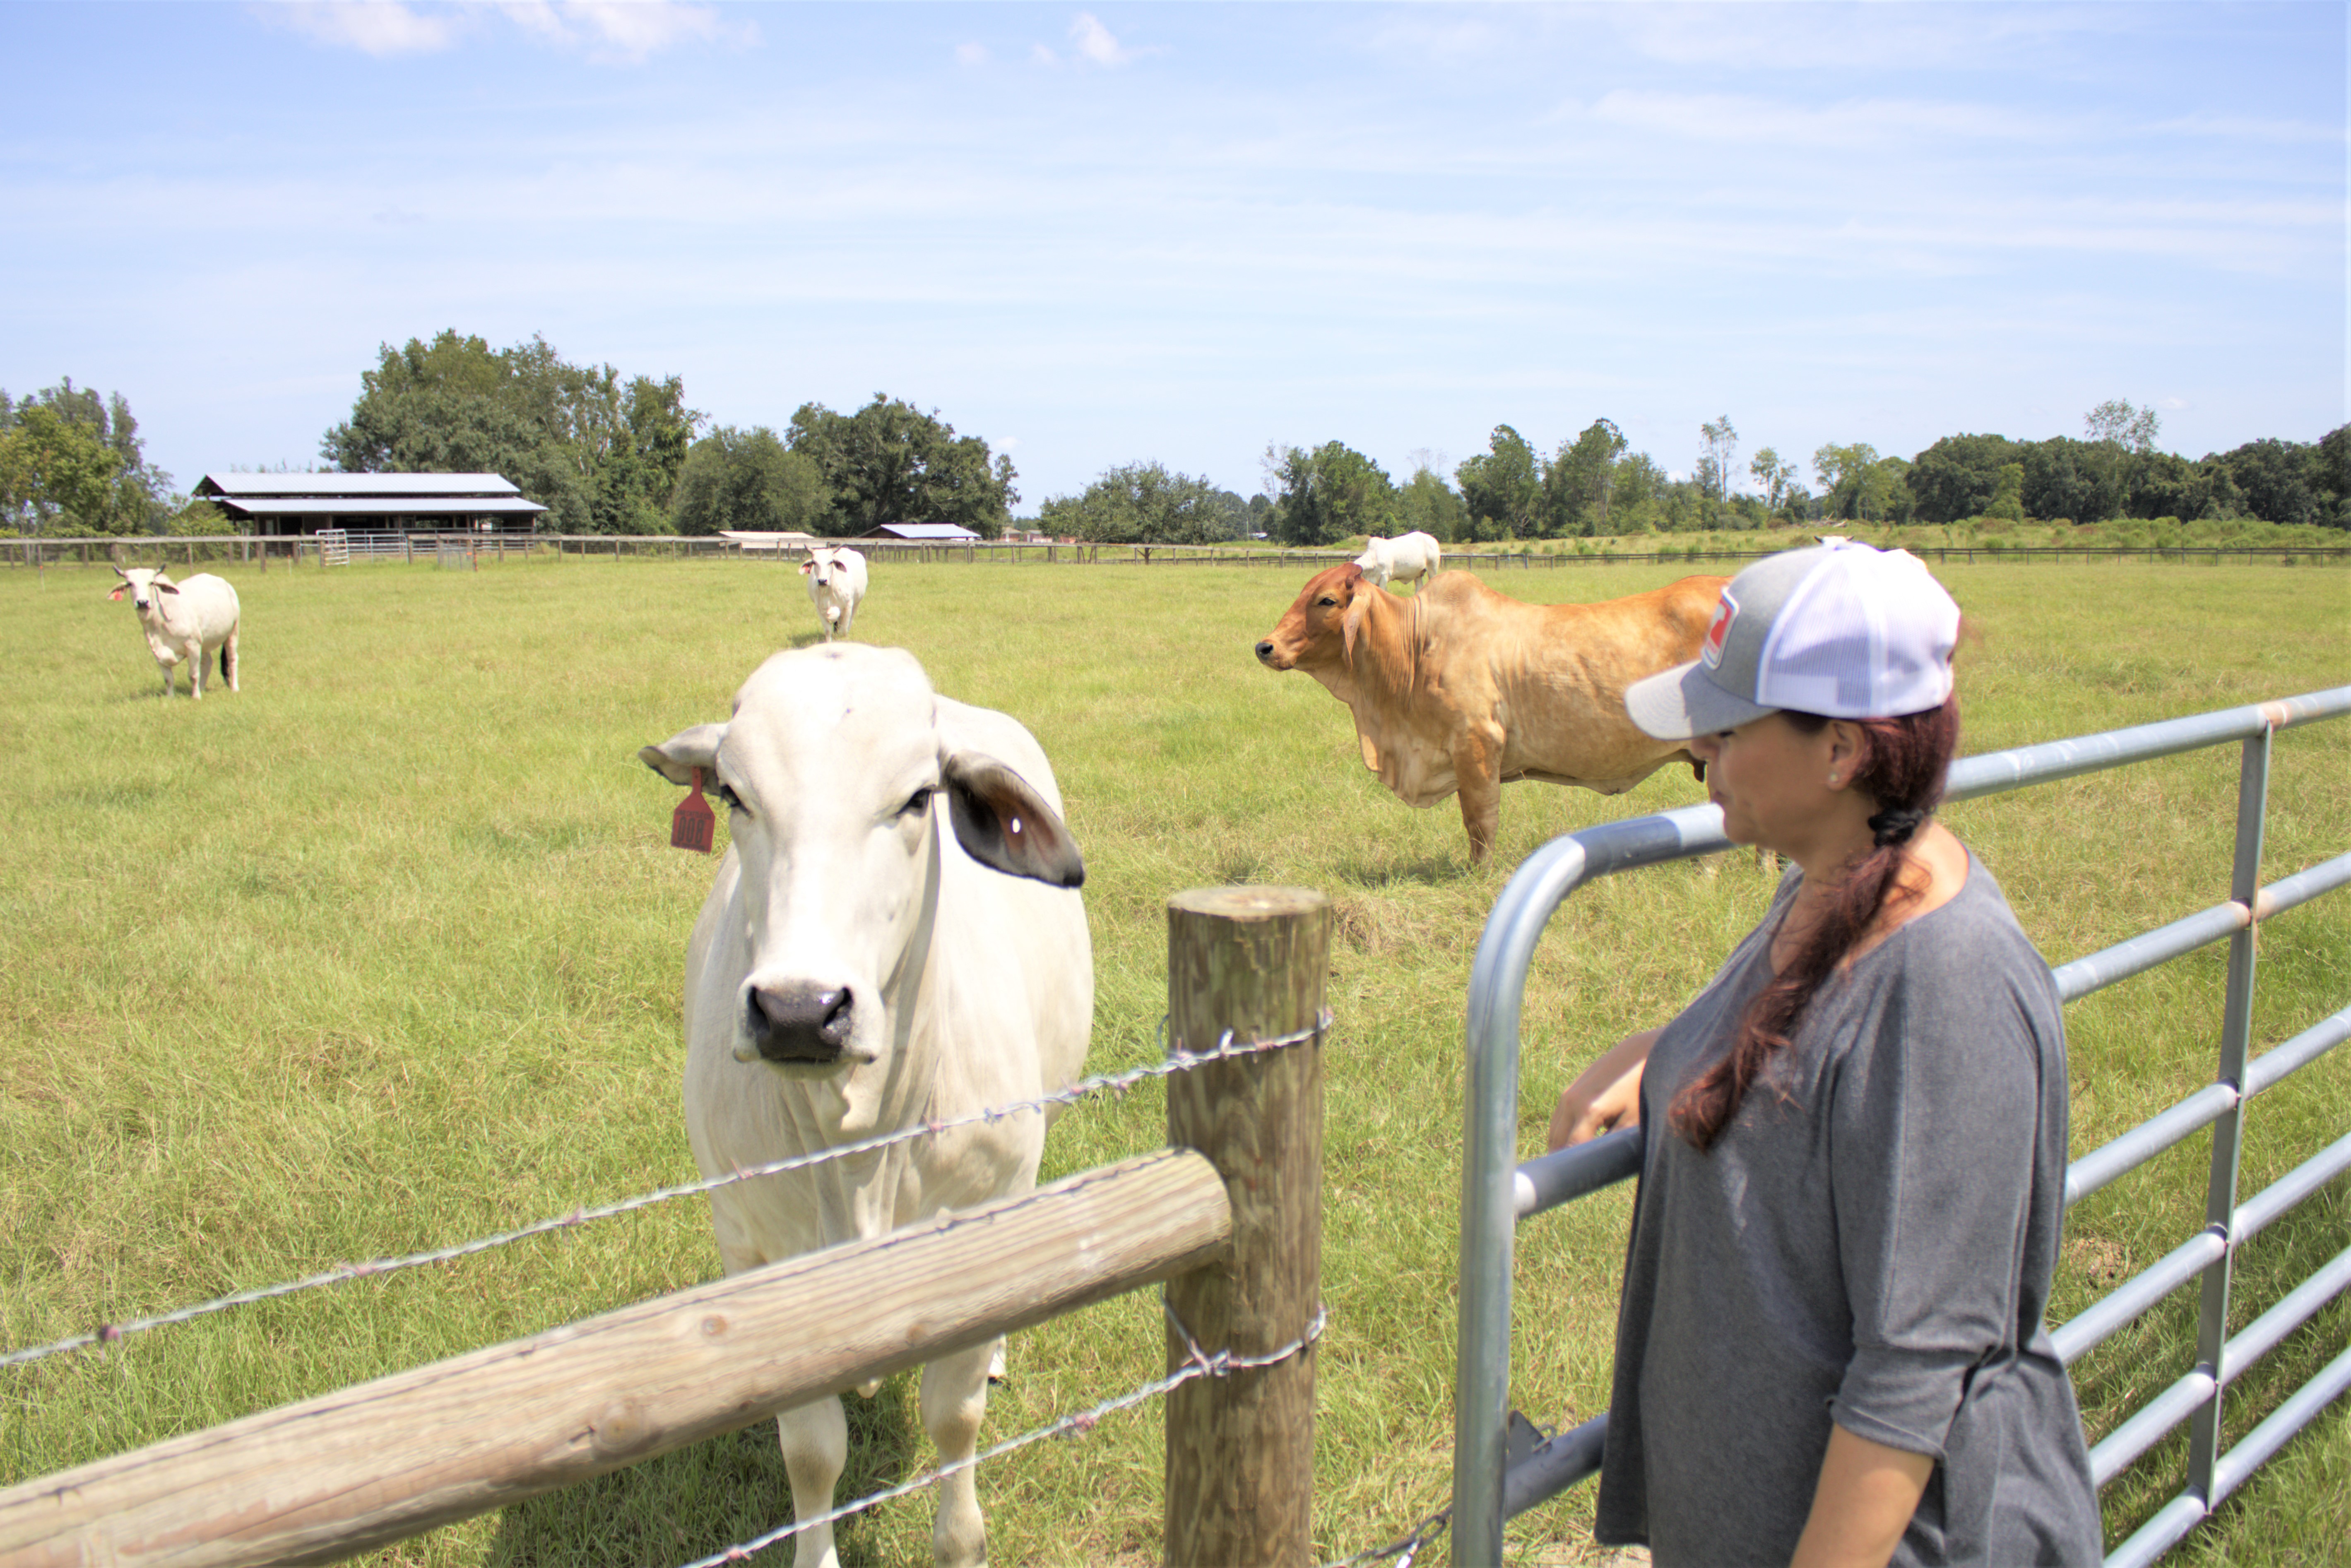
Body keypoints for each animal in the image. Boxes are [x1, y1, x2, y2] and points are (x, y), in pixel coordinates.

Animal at [109, 567, 240, 700]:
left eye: (151, 583)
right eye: (130, 584)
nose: (142, 602)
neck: (161, 621)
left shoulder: (193, 645)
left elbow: (193, 675)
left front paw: (196, 697)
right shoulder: (156, 651)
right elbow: (168, 679)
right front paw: (170, 698)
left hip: (233, 632)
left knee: (232, 659)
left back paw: (234, 688)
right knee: (207, 662)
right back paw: (202, 688)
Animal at [639, 642, 1091, 1568]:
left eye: (918, 798)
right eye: (733, 793)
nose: (799, 1009)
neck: (859, 1148)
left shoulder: (980, 1218)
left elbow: (953, 1416)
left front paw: (959, 1539)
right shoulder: (757, 1249)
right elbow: (812, 1451)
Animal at [799, 545, 868, 641]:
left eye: (831, 562)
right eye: (814, 562)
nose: (822, 581)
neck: (829, 592)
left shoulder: (848, 606)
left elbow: (844, 631)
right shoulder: (819, 608)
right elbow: (828, 630)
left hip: (856, 603)